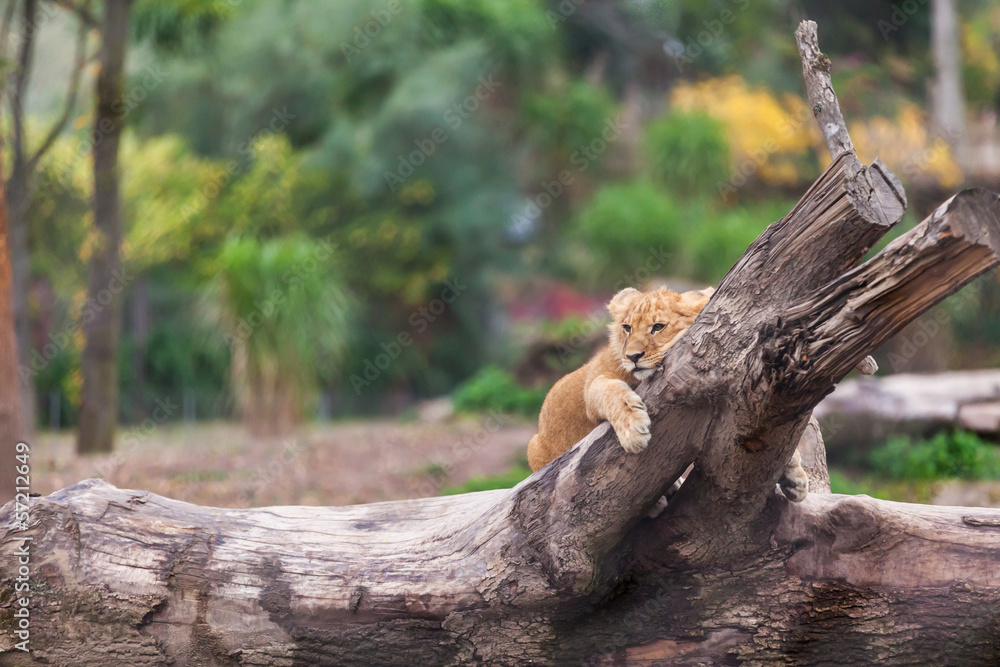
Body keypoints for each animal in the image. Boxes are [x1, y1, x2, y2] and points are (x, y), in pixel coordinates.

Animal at [526, 286, 808, 505]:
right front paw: (634, 429)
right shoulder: (592, 385)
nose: (633, 357)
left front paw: (795, 475)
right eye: (627, 328)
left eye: (658, 327)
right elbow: (610, 392)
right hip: (533, 446)